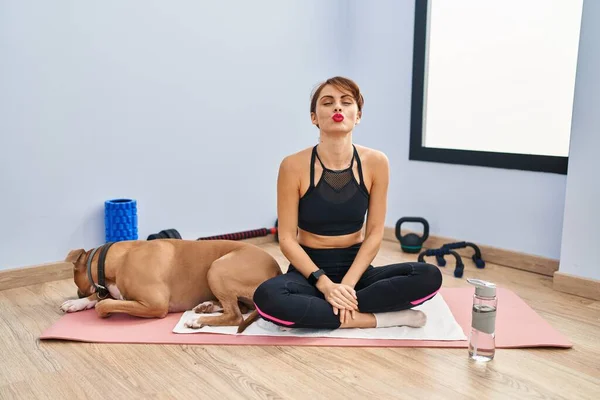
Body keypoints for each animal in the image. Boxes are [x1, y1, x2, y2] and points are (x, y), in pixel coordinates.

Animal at [62, 239, 282, 332]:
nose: (77, 293)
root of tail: (277, 270)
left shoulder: (155, 305)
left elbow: (103, 304)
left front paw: (103, 309)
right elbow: (101, 297)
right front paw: (76, 303)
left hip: (217, 268)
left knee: (236, 315)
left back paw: (198, 320)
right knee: (241, 308)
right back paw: (206, 306)